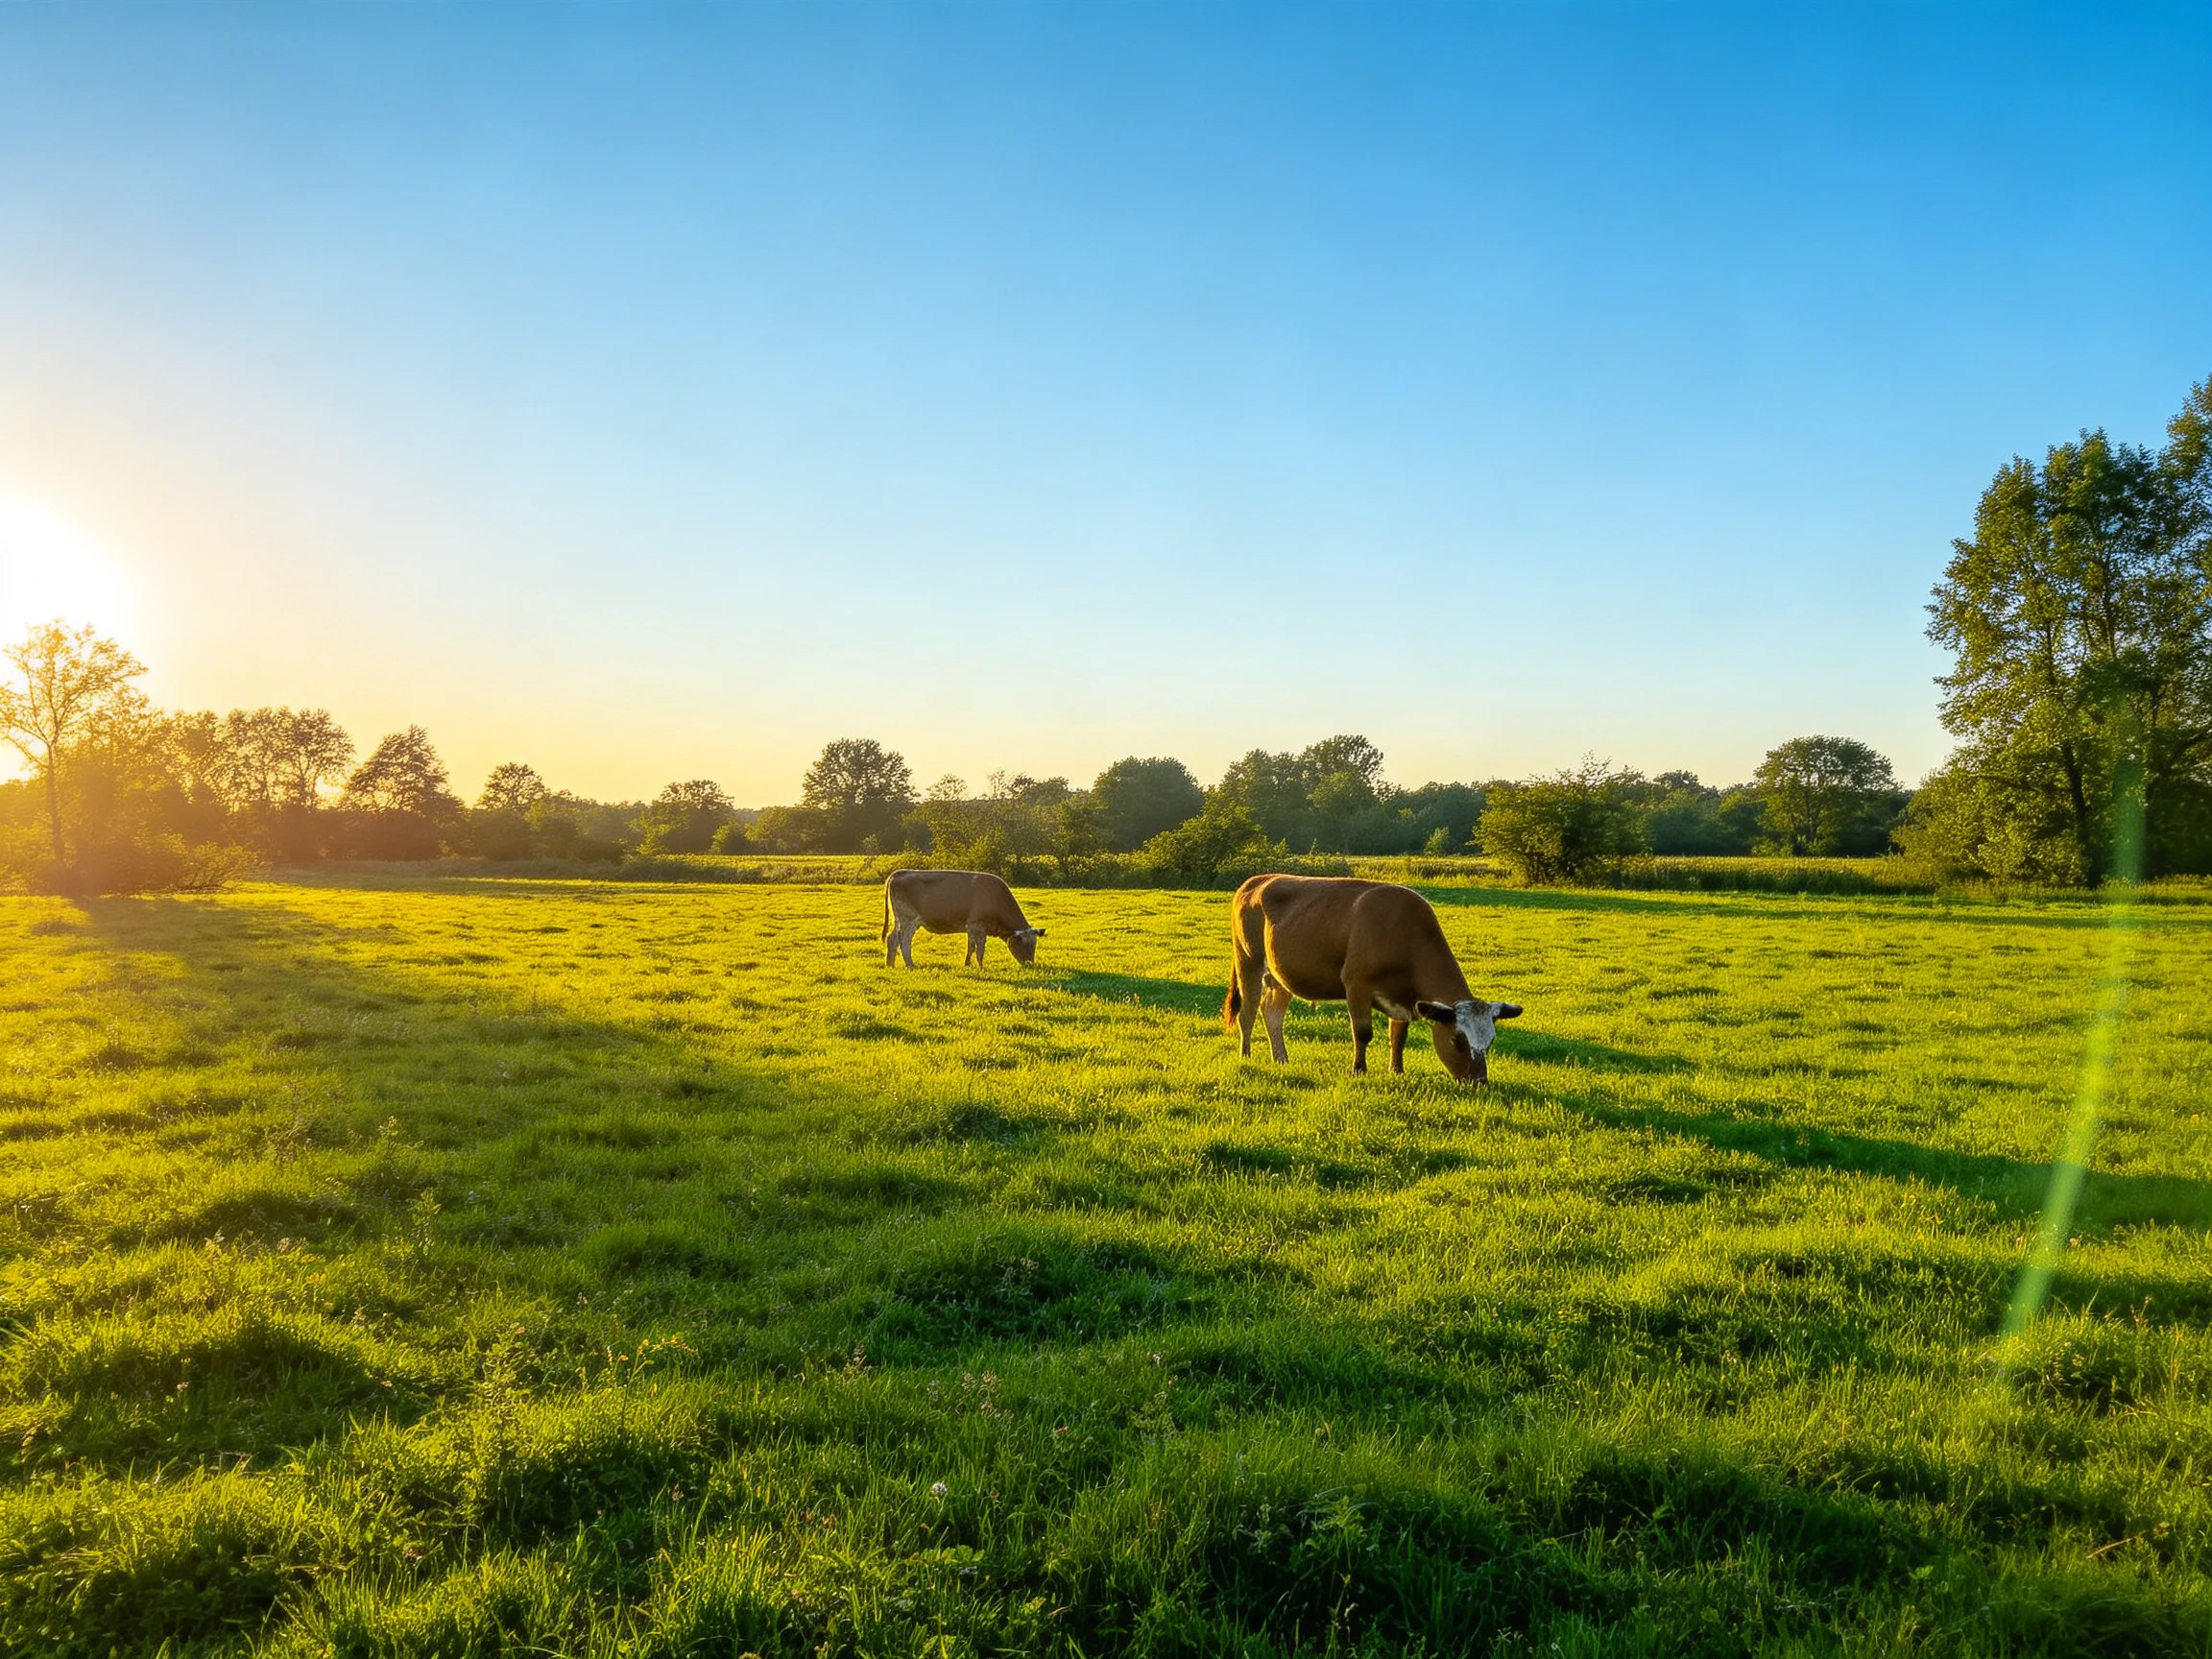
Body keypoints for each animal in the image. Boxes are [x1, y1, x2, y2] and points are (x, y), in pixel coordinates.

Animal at [883, 869, 1046, 968]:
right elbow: (979, 949)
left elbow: (971, 947)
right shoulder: (978, 926)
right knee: (904, 941)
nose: (1030, 964)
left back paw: (890, 965)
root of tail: (899, 872)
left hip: (899, 920)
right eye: (1022, 944)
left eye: (1034, 945)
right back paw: (910, 965)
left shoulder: (971, 927)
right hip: (908, 920)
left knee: (892, 939)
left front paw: (967, 965)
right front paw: (981, 967)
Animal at [1223, 873, 1522, 1082]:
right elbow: (1362, 1033)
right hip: (1249, 962)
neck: (1402, 933)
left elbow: (1398, 1036)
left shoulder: (1404, 999)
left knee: (1271, 1011)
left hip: (1282, 975)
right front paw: (1359, 1070)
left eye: (1490, 1043)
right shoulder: (1356, 985)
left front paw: (1397, 1071)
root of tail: (1257, 880)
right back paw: (1246, 1055)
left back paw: (1281, 1058)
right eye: (1456, 1040)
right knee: (1248, 1012)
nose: (1479, 1081)